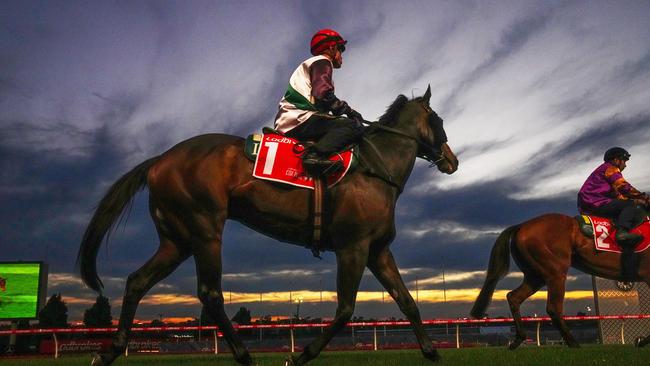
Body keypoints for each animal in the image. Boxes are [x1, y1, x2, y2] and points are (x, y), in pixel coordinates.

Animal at [78, 84, 458, 364]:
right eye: (438, 119)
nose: (452, 161)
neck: (376, 169)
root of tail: (160, 160)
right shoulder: (353, 247)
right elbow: (345, 310)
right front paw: (302, 354)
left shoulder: (377, 251)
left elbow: (407, 301)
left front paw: (432, 352)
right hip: (204, 230)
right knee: (210, 293)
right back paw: (244, 355)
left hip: (177, 240)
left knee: (137, 281)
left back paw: (110, 351)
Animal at [468, 213, 648, 350]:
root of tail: (521, 226)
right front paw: (642, 341)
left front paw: (641, 341)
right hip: (555, 273)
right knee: (553, 308)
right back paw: (573, 343)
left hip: (535, 276)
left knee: (513, 297)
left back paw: (518, 340)